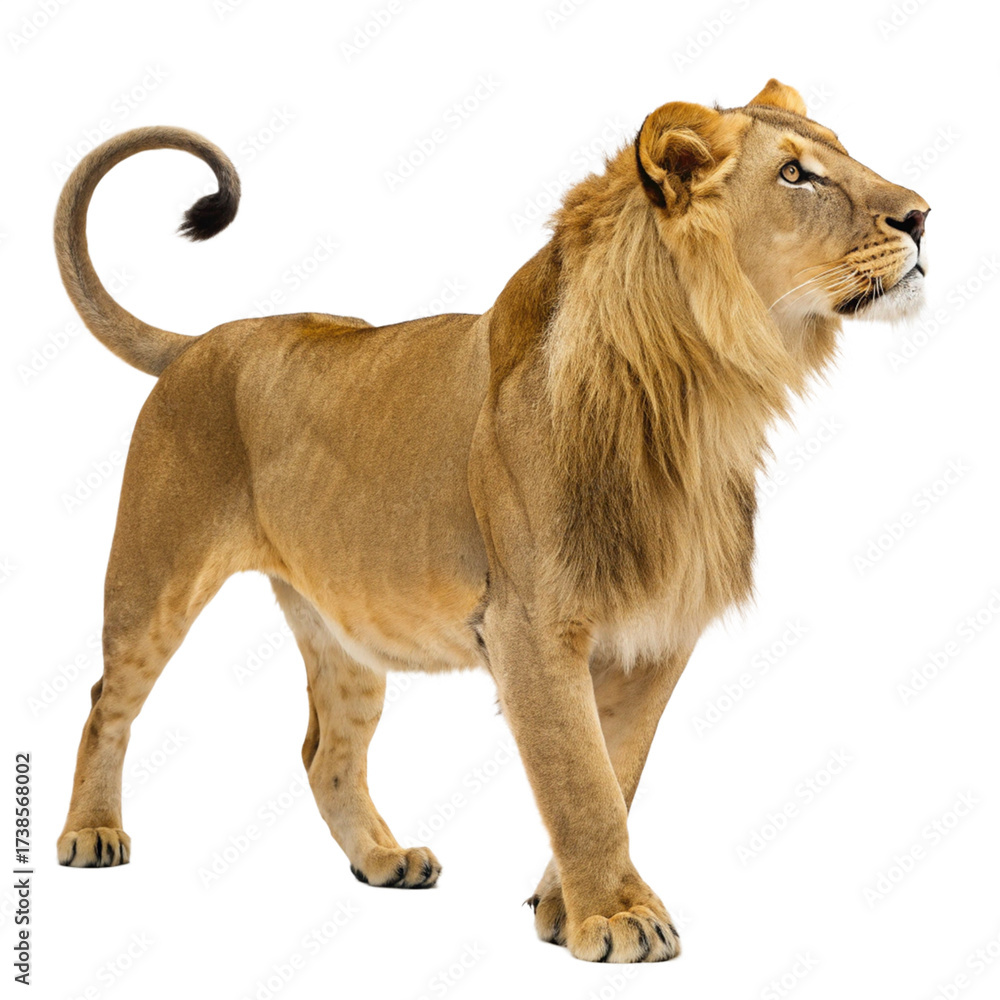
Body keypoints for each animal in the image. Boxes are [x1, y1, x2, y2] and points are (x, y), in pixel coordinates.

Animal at [54, 80, 928, 963]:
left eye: (840, 153)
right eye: (795, 174)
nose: (923, 216)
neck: (703, 398)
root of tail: (200, 341)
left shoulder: (659, 631)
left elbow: (617, 768)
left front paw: (564, 908)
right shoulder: (530, 624)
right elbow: (580, 779)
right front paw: (616, 918)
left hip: (344, 627)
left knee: (326, 753)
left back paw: (385, 858)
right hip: (155, 574)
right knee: (105, 702)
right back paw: (90, 835)